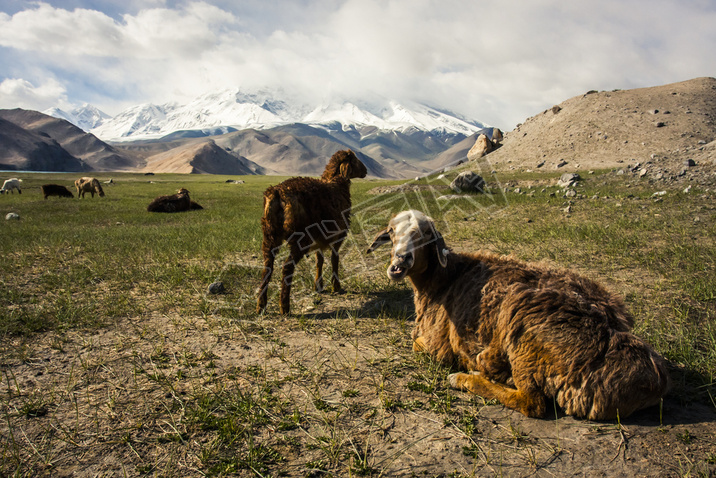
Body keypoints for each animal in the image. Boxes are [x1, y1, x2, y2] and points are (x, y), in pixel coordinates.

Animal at [258, 148, 370, 314]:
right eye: (355, 160)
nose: (366, 171)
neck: (337, 184)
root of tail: (277, 192)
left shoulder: (320, 238)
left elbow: (319, 260)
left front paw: (318, 285)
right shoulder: (339, 234)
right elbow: (334, 259)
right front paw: (336, 286)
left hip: (270, 234)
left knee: (267, 266)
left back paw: (261, 305)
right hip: (300, 236)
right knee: (287, 267)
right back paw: (284, 306)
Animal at [370, 209, 672, 418]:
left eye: (425, 235)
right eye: (391, 232)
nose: (400, 262)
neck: (442, 280)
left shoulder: (438, 346)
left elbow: (416, 345)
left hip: (525, 333)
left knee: (532, 403)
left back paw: (468, 378)